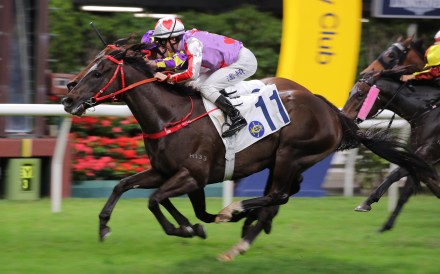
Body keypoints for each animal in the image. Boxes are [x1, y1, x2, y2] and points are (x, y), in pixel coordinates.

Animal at [342, 66, 440, 231]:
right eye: (350, 92)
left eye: (360, 94)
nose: (343, 117)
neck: (427, 110)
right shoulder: (422, 158)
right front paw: (387, 224)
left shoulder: (427, 152)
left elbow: (395, 174)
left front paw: (367, 203)